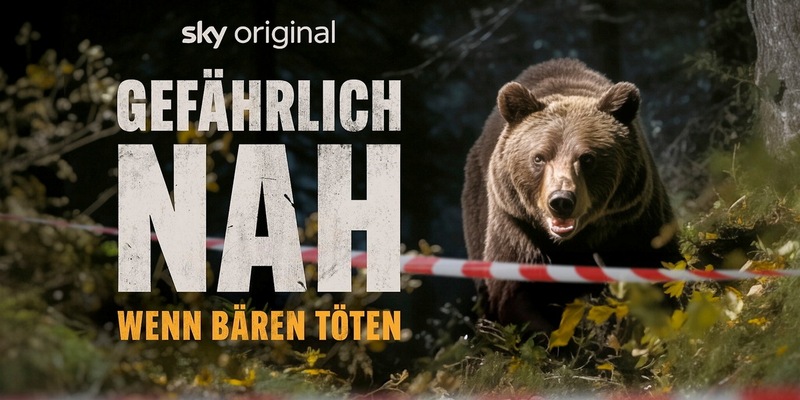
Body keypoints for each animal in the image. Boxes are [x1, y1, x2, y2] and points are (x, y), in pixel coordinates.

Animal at [461, 58, 681, 332]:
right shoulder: (518, 229)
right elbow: (516, 294)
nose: (561, 201)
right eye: (538, 158)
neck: (574, 241)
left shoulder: (632, 219)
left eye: (587, 158)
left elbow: (654, 264)